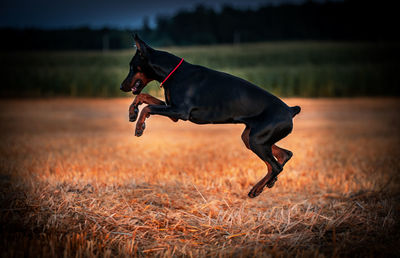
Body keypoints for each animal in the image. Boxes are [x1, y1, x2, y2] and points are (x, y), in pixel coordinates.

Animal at [119, 34, 300, 198]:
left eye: (132, 67)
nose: (121, 87)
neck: (173, 72)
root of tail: (290, 110)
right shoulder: (173, 110)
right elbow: (143, 97)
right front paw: (132, 111)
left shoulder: (179, 111)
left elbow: (148, 107)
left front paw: (139, 126)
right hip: (252, 137)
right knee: (284, 156)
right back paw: (269, 182)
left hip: (257, 139)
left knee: (275, 166)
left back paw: (256, 189)